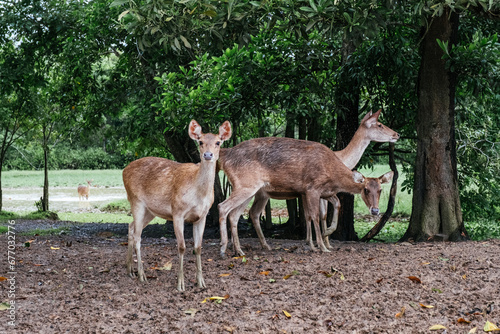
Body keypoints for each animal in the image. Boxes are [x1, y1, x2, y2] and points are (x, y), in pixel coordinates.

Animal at [125, 119, 234, 290]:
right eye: (200, 142)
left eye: (218, 142)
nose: (208, 155)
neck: (198, 194)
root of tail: (123, 170)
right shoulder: (177, 212)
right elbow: (182, 246)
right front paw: (180, 284)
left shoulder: (202, 215)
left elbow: (198, 247)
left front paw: (201, 282)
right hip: (136, 200)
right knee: (137, 236)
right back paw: (142, 275)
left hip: (151, 210)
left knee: (131, 227)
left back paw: (130, 270)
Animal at [219, 109, 398, 256]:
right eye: (380, 124)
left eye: (381, 190)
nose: (397, 134)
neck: (342, 160)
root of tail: (225, 155)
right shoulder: (311, 190)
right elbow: (317, 215)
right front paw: (321, 244)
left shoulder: (310, 192)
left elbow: (315, 213)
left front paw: (317, 242)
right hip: (248, 186)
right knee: (226, 208)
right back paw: (226, 247)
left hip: (256, 191)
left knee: (245, 213)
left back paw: (245, 248)